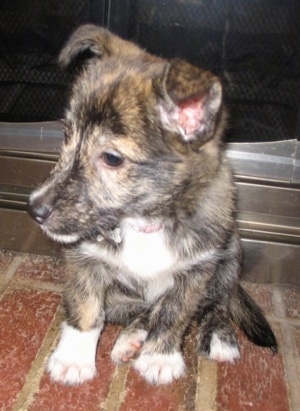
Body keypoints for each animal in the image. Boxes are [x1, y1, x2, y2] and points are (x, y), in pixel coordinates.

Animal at [27, 25, 276, 386]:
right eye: (66, 136)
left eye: (112, 158)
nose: (35, 210)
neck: (143, 221)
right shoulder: (85, 260)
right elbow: (86, 307)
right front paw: (74, 358)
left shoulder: (196, 271)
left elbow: (174, 314)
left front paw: (160, 356)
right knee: (136, 310)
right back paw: (131, 337)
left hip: (230, 254)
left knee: (216, 304)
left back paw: (216, 335)